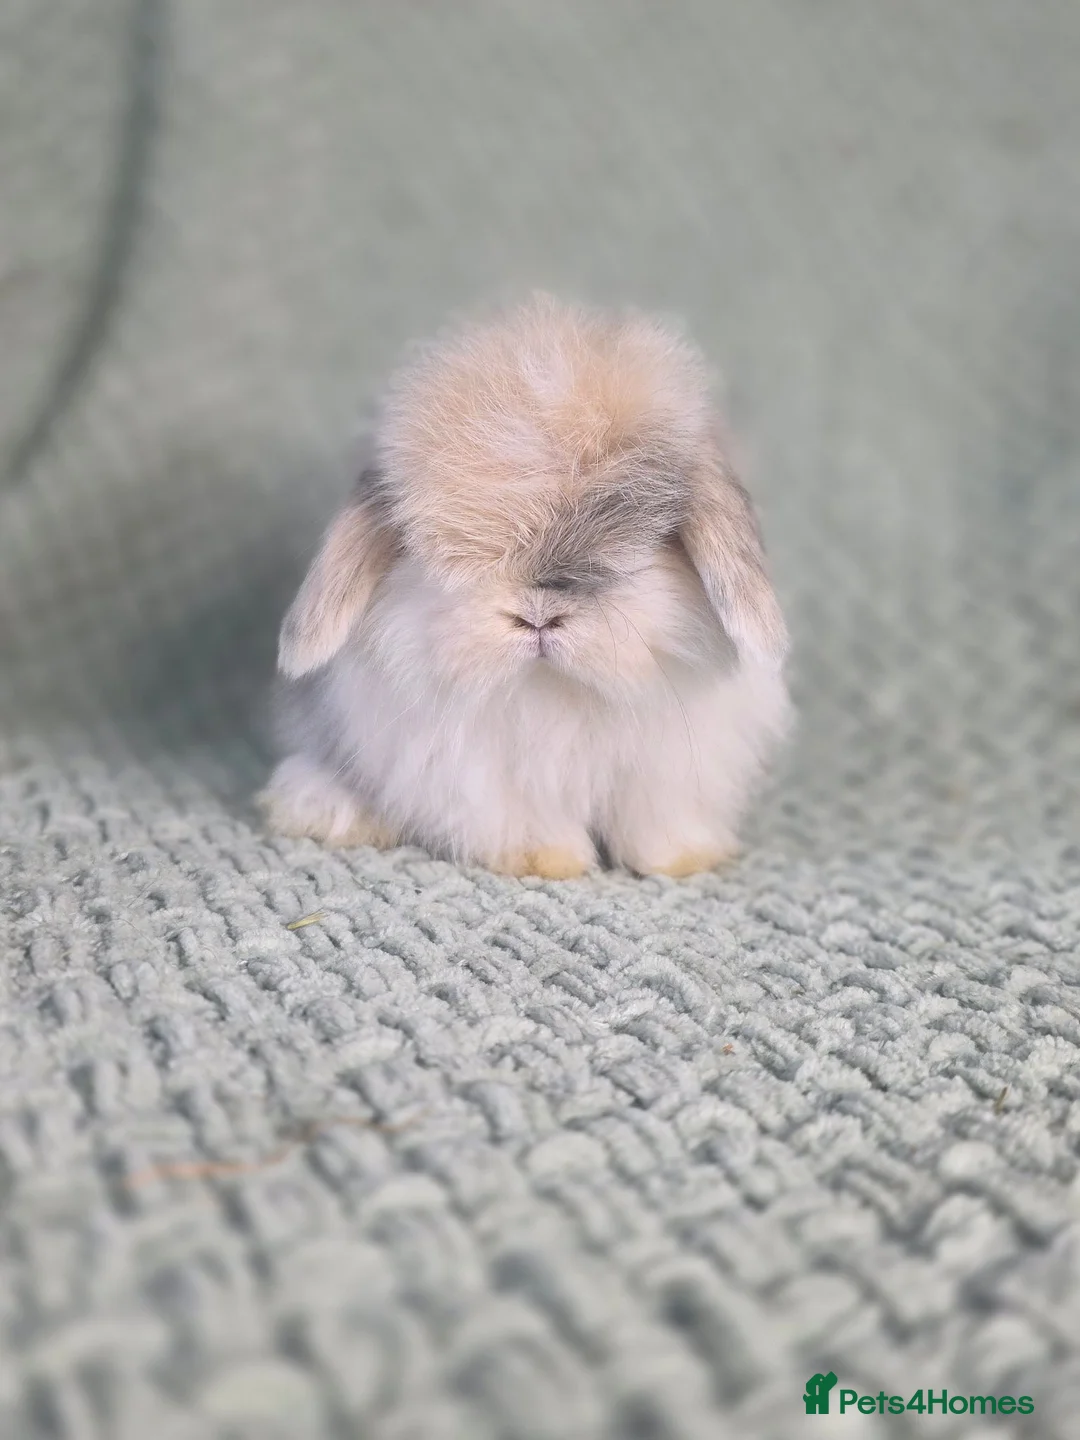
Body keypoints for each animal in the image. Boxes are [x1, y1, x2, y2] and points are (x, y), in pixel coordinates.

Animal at [260, 294, 791, 878]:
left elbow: (657, 823)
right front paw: (550, 861)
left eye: (654, 533)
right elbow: (521, 819)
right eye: (440, 546)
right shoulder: (477, 778)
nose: (538, 615)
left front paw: (684, 859)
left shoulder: (669, 771)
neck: (554, 691)